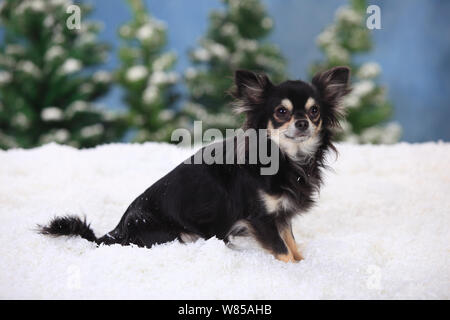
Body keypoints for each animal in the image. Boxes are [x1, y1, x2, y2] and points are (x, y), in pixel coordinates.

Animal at [38, 67, 350, 262]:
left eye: (314, 111)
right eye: (281, 112)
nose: (302, 122)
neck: (287, 159)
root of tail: (115, 233)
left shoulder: (280, 216)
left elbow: (291, 243)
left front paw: (303, 262)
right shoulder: (259, 219)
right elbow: (282, 250)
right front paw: (295, 271)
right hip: (177, 235)